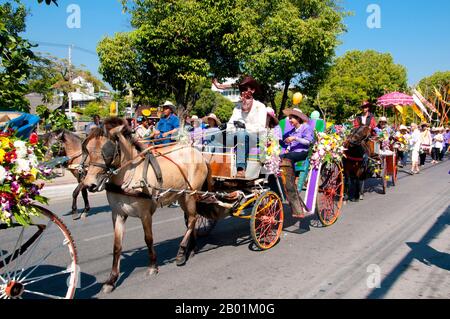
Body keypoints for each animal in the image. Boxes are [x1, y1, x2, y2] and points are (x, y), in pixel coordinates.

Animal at [81, 119, 211, 294]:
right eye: (87, 150)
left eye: (106, 151)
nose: (90, 184)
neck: (129, 176)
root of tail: (196, 152)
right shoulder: (118, 214)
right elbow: (116, 246)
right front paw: (111, 280)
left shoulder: (145, 214)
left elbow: (148, 239)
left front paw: (152, 266)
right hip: (182, 196)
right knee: (191, 219)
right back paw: (192, 247)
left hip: (190, 194)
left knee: (192, 220)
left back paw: (181, 252)